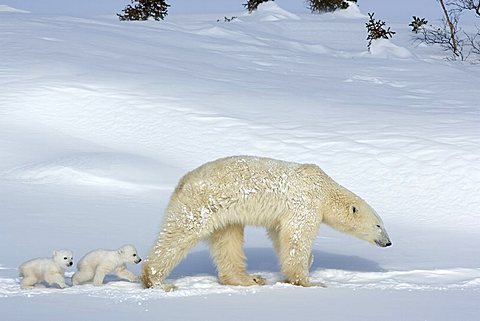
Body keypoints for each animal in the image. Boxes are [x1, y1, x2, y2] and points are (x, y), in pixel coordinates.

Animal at [140, 155, 390, 290]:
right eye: (379, 225)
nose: (388, 242)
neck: (324, 189)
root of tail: (182, 182)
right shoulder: (305, 203)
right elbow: (297, 238)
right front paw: (310, 281)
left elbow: (281, 237)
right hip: (200, 205)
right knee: (178, 235)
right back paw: (157, 280)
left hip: (226, 215)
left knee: (228, 241)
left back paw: (250, 278)